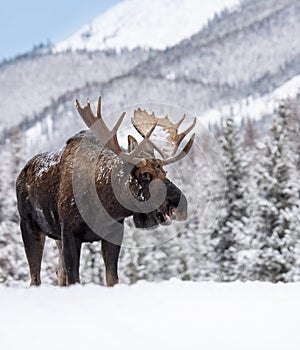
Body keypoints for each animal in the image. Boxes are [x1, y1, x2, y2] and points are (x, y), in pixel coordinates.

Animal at [15, 97, 196, 286]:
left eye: (165, 172)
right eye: (145, 174)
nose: (180, 204)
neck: (104, 205)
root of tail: (21, 175)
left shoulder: (113, 234)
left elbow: (112, 279)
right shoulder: (69, 233)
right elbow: (75, 280)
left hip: (56, 238)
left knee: (59, 273)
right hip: (28, 226)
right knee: (35, 278)